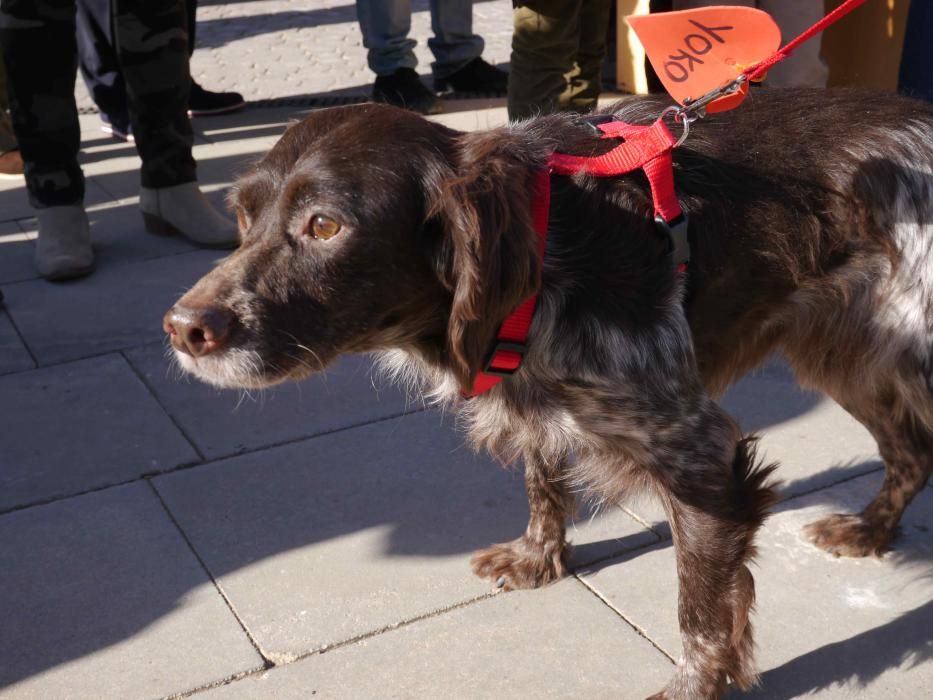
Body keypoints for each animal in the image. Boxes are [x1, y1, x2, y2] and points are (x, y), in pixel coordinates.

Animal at [164, 90, 932, 696]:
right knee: (910, 451)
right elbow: (542, 479)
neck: (546, 253)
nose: (183, 329)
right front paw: (538, 558)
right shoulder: (536, 398)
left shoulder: (699, 453)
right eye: (242, 216)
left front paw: (693, 687)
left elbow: (702, 610)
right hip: (846, 355)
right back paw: (870, 530)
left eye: (324, 225)